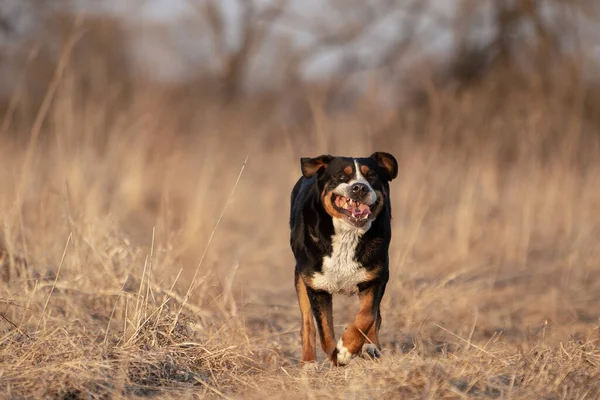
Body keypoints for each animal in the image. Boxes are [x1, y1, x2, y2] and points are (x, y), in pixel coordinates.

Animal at [290, 151, 398, 366]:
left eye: (371, 176)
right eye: (341, 176)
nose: (359, 187)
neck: (348, 235)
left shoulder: (376, 277)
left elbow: (367, 316)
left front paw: (348, 348)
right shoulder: (317, 286)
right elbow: (324, 331)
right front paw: (337, 354)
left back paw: (371, 348)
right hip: (300, 278)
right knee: (307, 323)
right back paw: (309, 363)